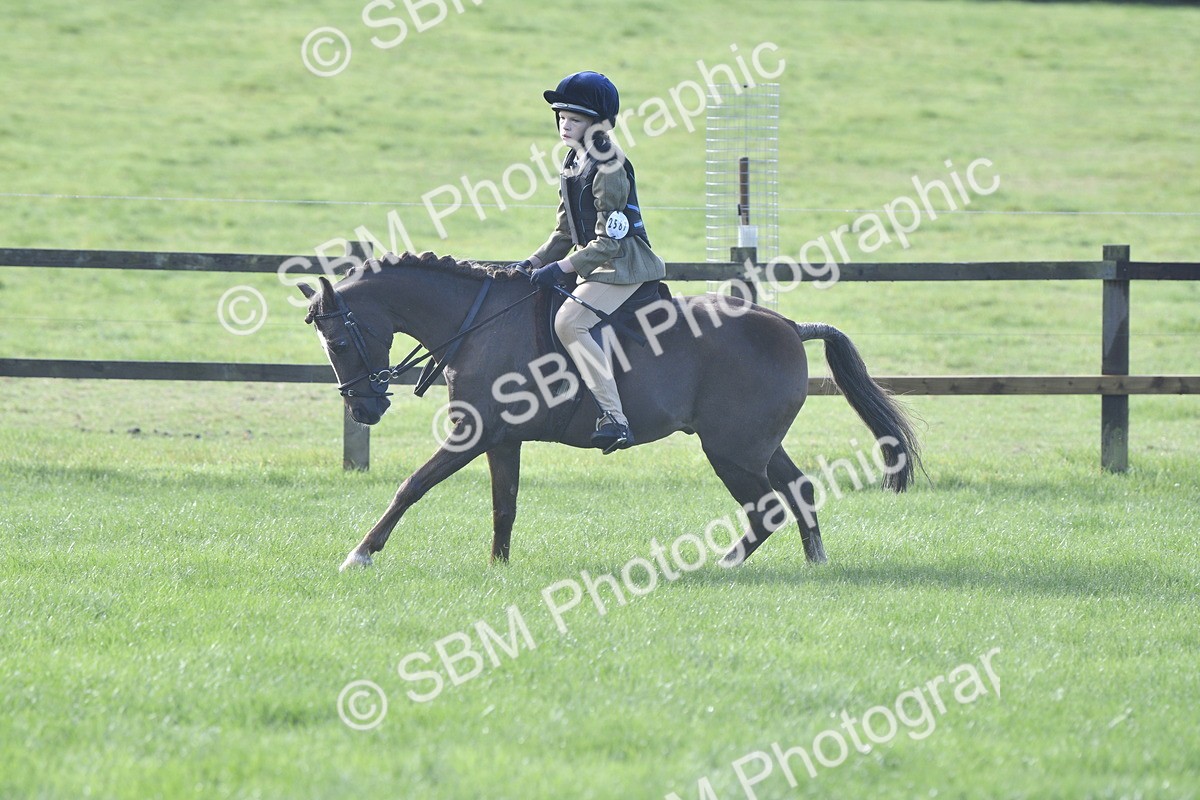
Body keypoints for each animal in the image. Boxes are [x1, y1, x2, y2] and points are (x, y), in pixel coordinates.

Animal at [299, 251, 920, 572]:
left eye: (340, 342)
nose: (365, 407)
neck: (479, 325)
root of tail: (788, 325)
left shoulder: (471, 435)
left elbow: (411, 486)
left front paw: (360, 553)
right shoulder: (501, 439)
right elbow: (505, 506)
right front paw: (499, 568)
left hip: (732, 451)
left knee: (766, 508)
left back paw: (725, 564)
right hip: (758, 446)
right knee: (799, 490)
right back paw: (814, 563)